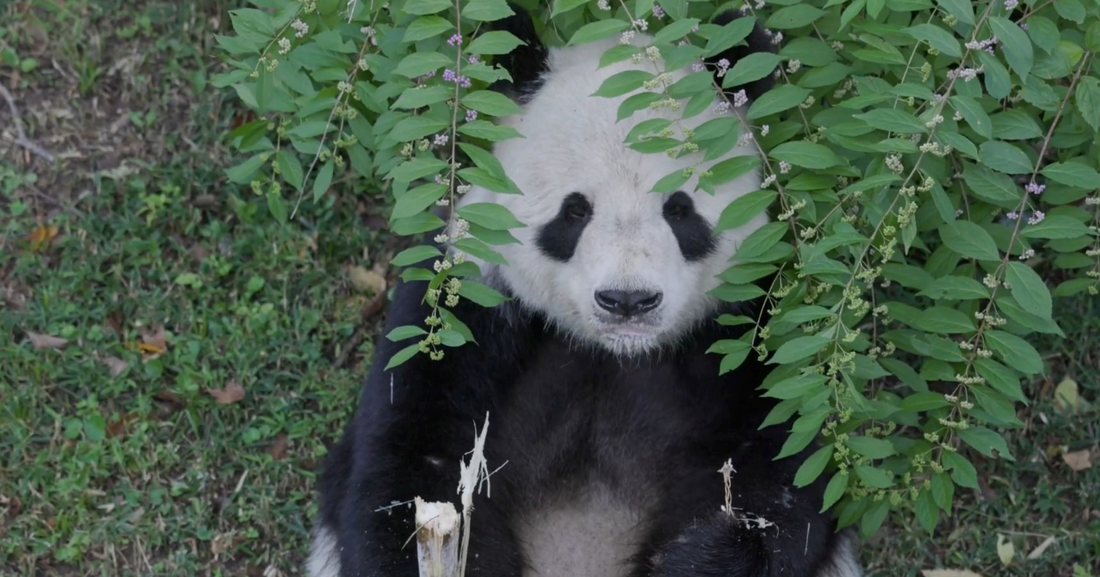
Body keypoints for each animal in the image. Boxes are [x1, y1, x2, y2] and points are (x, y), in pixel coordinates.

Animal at [305, 5, 862, 575]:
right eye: (574, 212)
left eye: (680, 210)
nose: (628, 302)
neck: (615, 354)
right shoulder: (464, 312)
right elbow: (412, 462)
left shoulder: (758, 331)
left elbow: (777, 476)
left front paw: (703, 553)